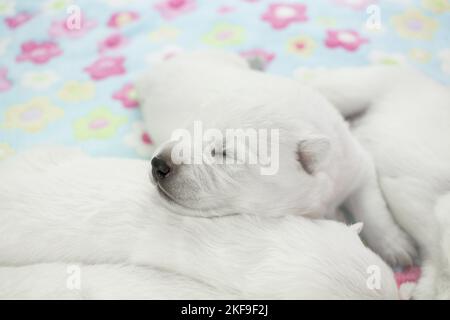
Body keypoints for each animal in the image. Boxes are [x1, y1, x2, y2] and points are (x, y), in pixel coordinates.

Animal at [136, 52, 414, 268]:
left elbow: (370, 200)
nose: (159, 163)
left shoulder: (349, 160)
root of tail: (159, 68)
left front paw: (398, 247)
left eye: (224, 153)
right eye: (186, 128)